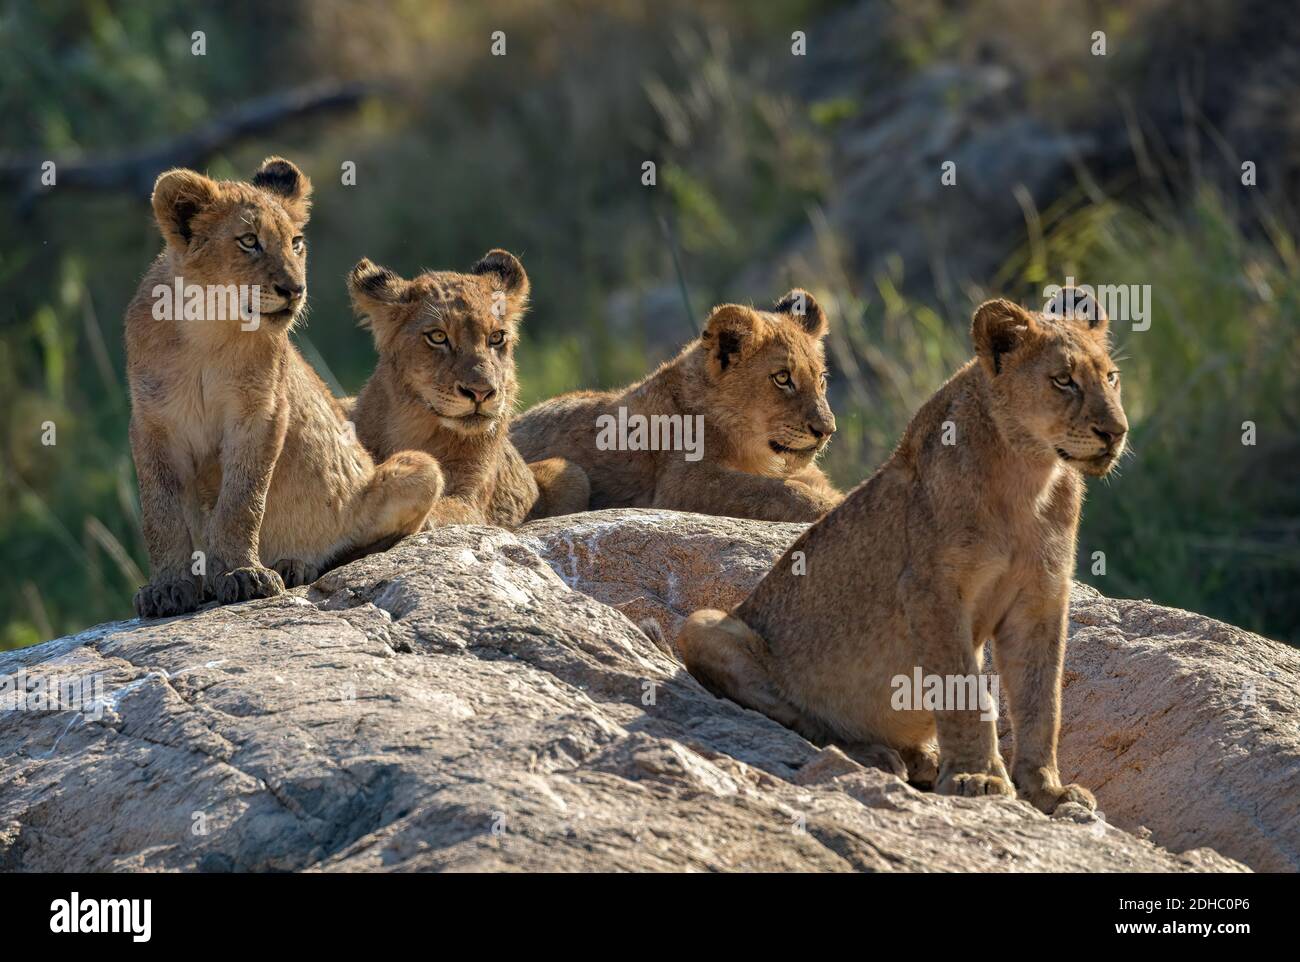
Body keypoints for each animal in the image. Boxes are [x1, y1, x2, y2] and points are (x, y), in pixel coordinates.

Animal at [125, 157, 443, 618]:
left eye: (296, 243)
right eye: (249, 241)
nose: (295, 289)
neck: (207, 330)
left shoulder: (262, 413)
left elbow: (242, 500)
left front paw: (241, 574)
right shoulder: (152, 423)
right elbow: (161, 512)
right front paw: (167, 588)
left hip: (418, 468)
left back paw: (295, 565)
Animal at [347, 251, 589, 528]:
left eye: (496, 337)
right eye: (438, 337)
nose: (481, 393)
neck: (413, 428)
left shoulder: (472, 502)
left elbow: (444, 509)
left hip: (569, 471)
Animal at [511, 291, 841, 522]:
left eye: (821, 379)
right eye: (782, 378)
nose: (827, 430)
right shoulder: (681, 485)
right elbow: (778, 491)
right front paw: (826, 508)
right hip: (570, 474)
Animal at [675, 289, 1128, 814]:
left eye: (1111, 378)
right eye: (1063, 380)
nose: (1116, 432)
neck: (1030, 477)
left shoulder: (1041, 598)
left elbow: (1043, 700)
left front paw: (1046, 790)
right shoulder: (932, 590)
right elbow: (962, 690)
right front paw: (977, 777)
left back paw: (919, 757)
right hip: (704, 624)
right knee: (805, 721)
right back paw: (876, 754)